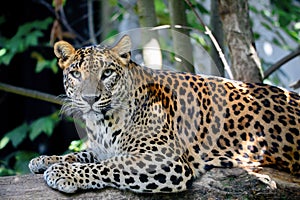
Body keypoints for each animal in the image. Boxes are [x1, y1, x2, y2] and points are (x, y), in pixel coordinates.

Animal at [28, 34, 300, 194]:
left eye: (107, 73)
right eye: (76, 74)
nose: (89, 99)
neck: (103, 122)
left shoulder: (165, 159)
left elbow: (109, 165)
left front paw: (63, 173)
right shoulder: (102, 148)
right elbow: (84, 155)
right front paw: (47, 160)